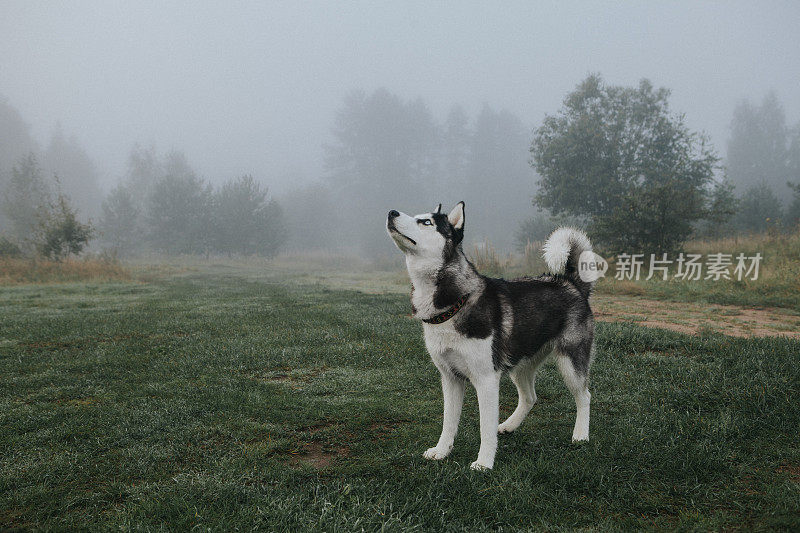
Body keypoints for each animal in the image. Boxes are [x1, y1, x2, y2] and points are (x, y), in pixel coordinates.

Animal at [388, 203, 592, 470]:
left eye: (426, 222)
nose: (391, 213)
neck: (455, 303)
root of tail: (571, 283)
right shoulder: (450, 378)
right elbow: (448, 422)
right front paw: (442, 451)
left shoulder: (486, 380)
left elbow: (484, 428)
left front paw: (484, 462)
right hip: (520, 365)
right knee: (530, 397)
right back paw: (509, 425)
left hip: (570, 363)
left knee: (584, 396)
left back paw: (581, 435)